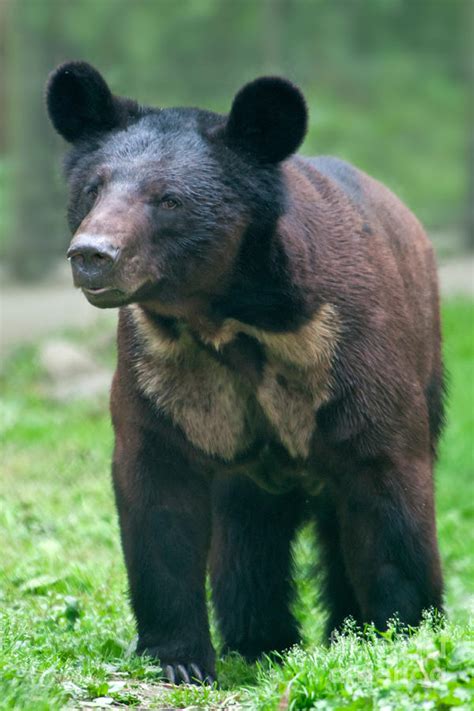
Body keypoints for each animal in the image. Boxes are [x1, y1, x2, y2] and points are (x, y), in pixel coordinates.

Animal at [46, 64, 442, 688]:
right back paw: (261, 641)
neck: (227, 320)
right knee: (246, 540)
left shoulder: (348, 349)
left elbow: (387, 486)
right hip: (247, 473)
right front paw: (180, 660)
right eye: (93, 188)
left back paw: (335, 631)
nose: (91, 255)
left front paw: (401, 635)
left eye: (169, 200)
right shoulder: (159, 371)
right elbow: (158, 499)